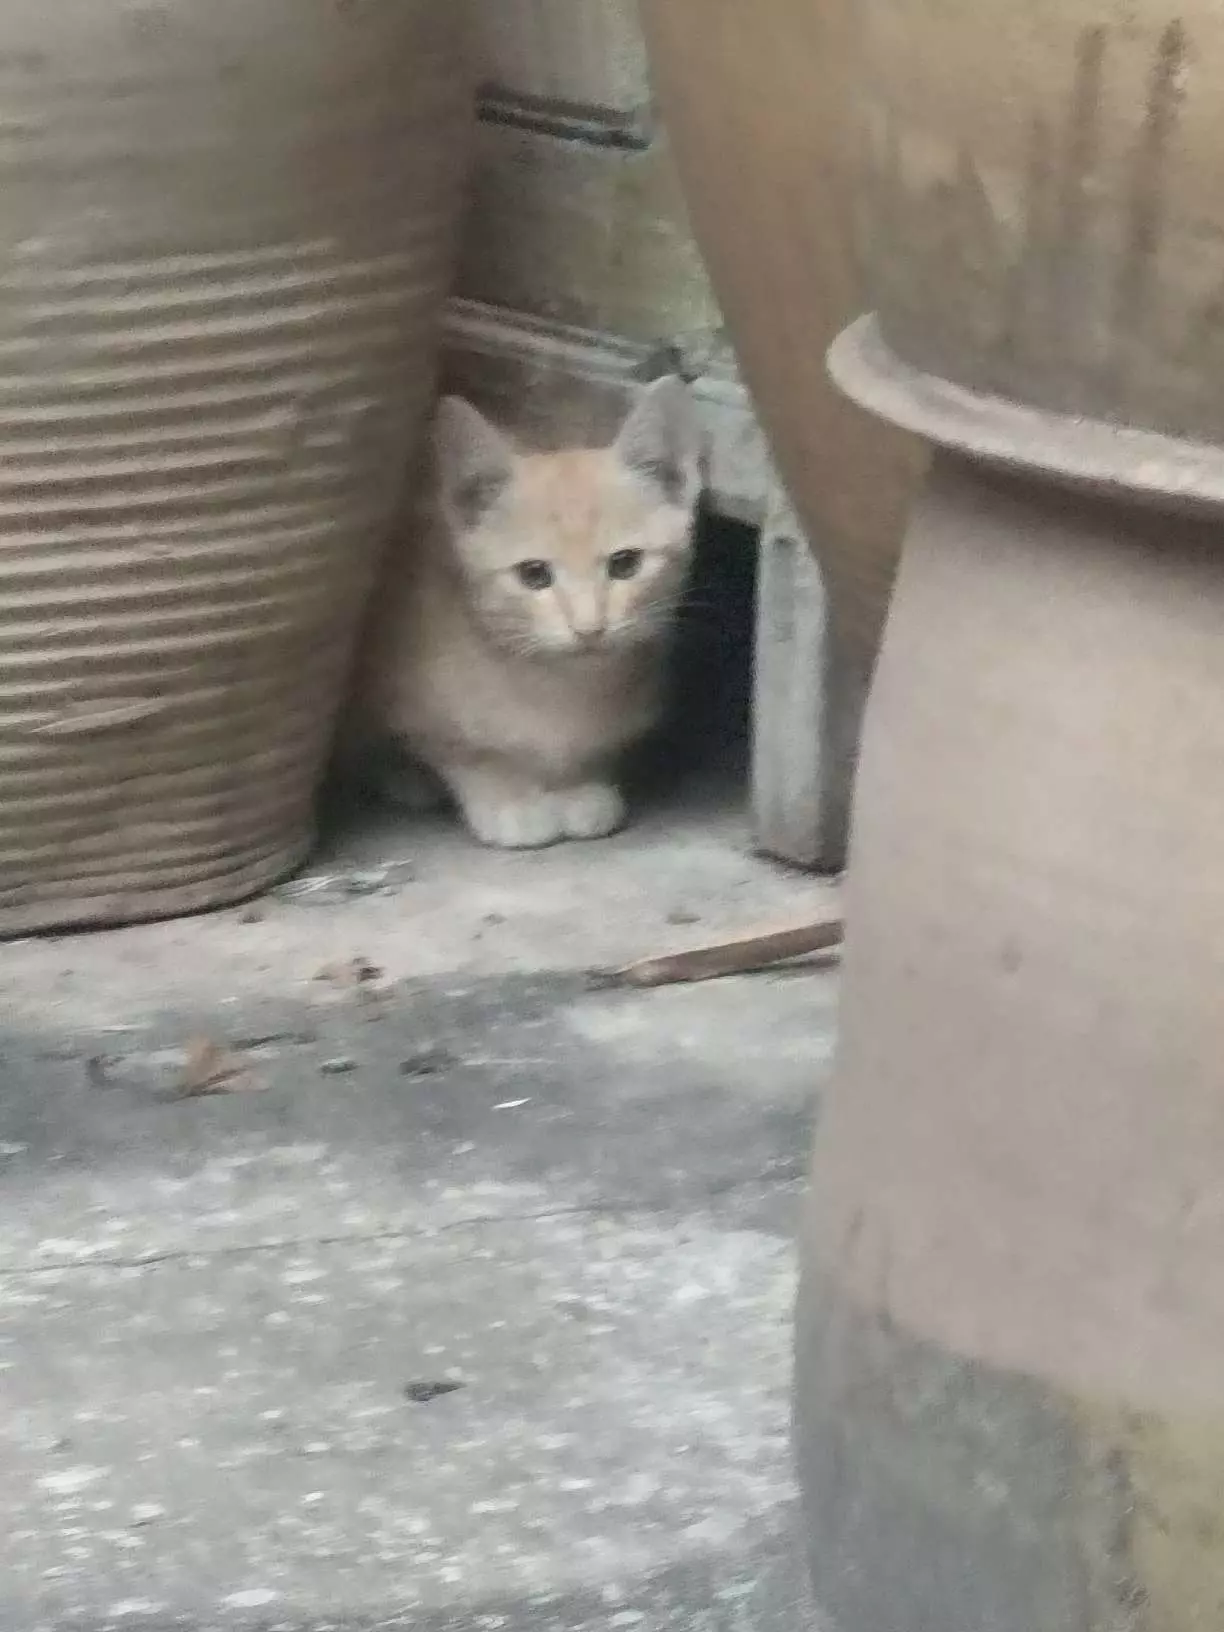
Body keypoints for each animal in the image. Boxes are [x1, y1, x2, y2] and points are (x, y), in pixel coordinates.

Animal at [349, 375, 704, 850]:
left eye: (626, 564)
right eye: (533, 574)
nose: (589, 628)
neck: (558, 688)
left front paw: (579, 788)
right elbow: (466, 754)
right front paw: (508, 798)